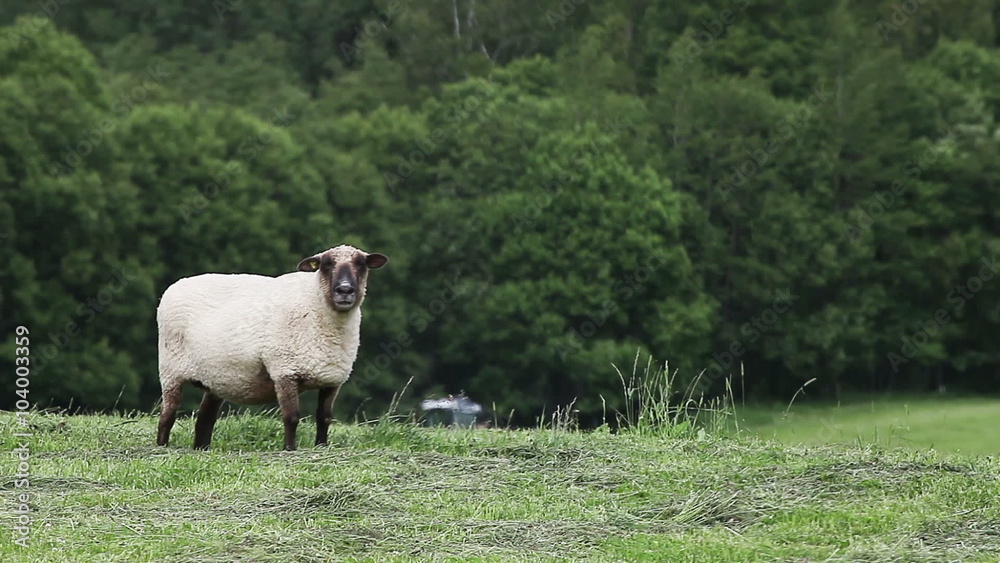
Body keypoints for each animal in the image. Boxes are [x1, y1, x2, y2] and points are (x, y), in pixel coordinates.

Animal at [155, 245, 388, 451]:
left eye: (361, 264)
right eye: (325, 264)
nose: (344, 290)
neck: (315, 303)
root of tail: (176, 285)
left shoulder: (332, 379)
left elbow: (324, 418)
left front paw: (321, 447)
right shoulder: (284, 370)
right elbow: (291, 417)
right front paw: (289, 449)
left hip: (216, 378)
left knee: (205, 418)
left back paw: (201, 449)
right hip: (171, 370)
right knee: (167, 416)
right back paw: (161, 447)